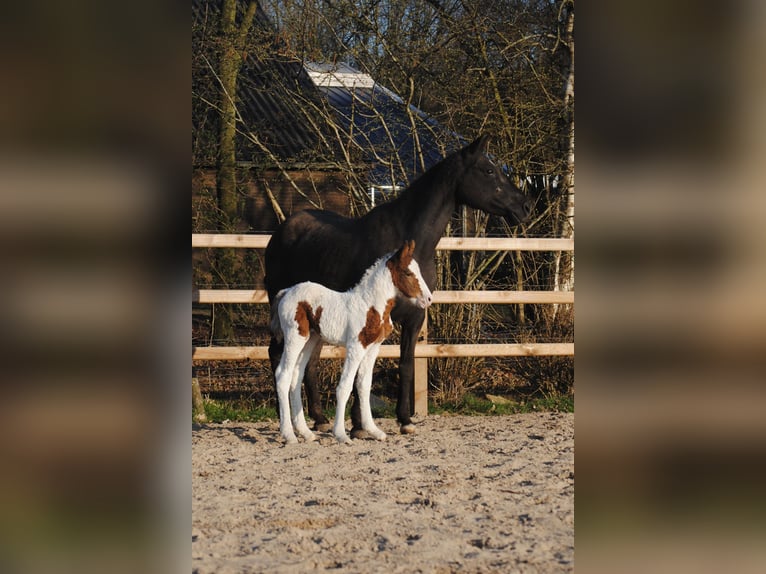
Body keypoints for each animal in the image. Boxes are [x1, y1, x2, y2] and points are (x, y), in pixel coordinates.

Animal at [270, 241, 432, 444]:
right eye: (408, 273)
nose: (428, 299)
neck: (371, 306)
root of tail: (285, 293)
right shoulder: (356, 346)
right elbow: (345, 386)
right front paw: (341, 434)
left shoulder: (373, 348)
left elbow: (363, 385)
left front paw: (374, 431)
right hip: (294, 337)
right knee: (282, 375)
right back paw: (289, 435)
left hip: (310, 340)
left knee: (296, 377)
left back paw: (306, 433)